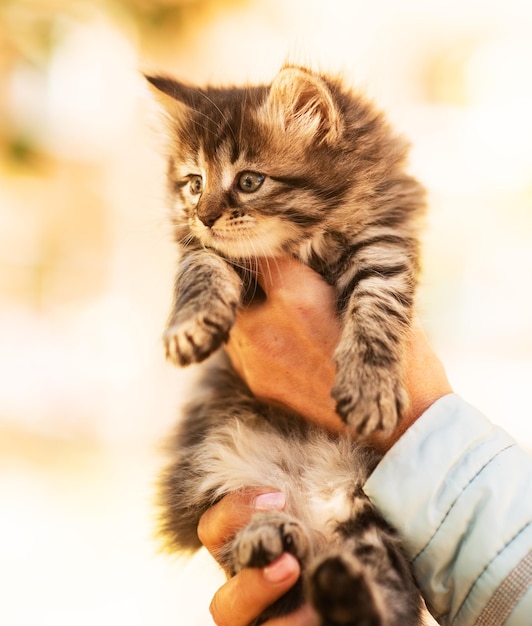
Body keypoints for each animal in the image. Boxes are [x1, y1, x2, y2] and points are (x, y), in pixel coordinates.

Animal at [147, 66, 428, 620]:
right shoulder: (206, 252)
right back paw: (271, 540)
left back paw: (341, 587)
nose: (203, 216)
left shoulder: (384, 240)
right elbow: (201, 265)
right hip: (219, 474)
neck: (302, 242)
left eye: (249, 181)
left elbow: (377, 306)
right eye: (194, 184)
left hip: (366, 505)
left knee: (390, 599)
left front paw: (370, 387)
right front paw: (190, 327)